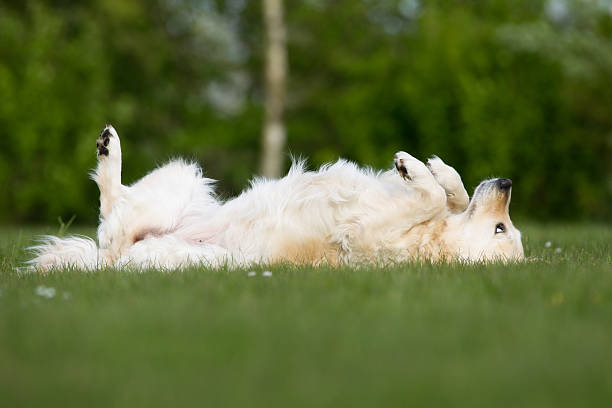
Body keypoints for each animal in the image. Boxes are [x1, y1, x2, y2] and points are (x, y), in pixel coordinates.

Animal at [28, 124, 524, 270]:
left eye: (501, 228)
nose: (507, 183)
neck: (428, 240)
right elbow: (452, 193)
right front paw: (437, 168)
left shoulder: (369, 233)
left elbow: (431, 199)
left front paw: (415, 167)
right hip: (184, 179)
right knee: (114, 204)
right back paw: (108, 145)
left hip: (197, 257)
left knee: (111, 222)